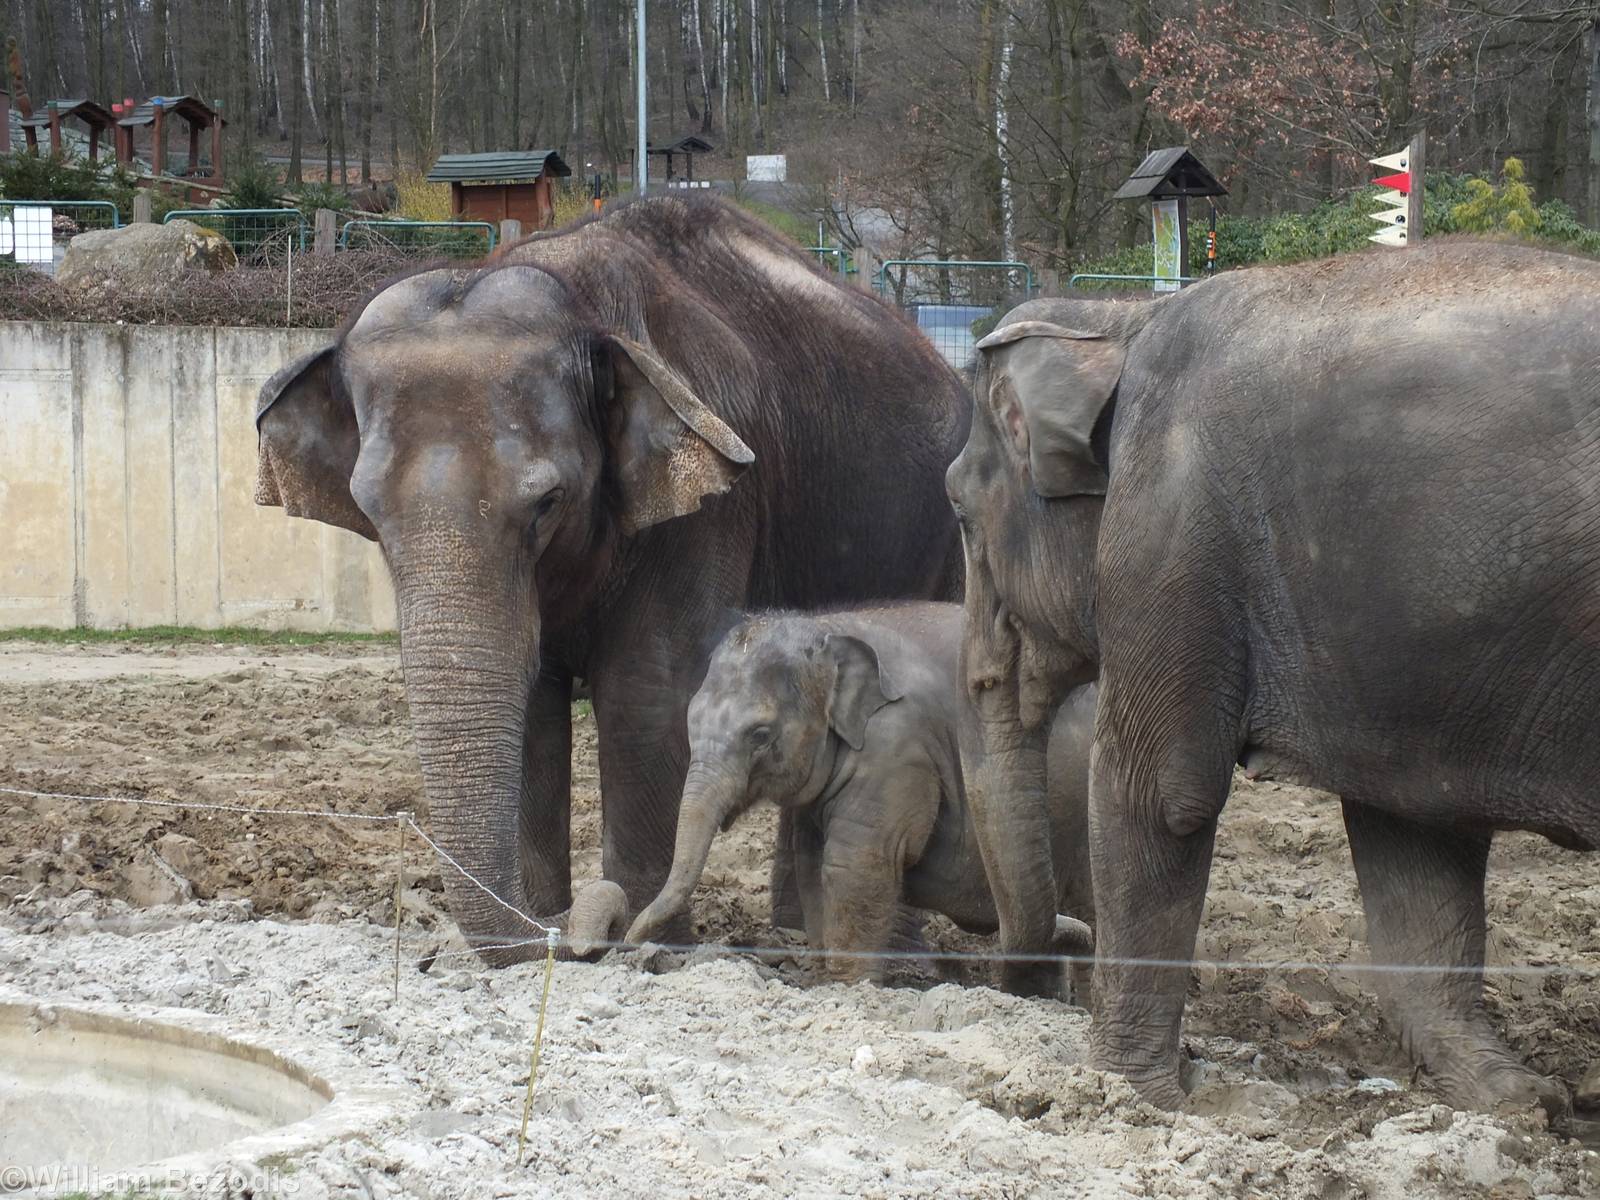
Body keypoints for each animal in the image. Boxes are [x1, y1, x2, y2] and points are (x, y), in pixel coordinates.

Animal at [254, 195, 970, 961]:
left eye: (548, 502)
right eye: (368, 511)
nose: (581, 929)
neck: (576, 294)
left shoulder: (712, 501)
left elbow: (645, 691)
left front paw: (650, 948)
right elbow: (533, 702)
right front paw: (551, 923)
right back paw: (794, 931)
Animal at [601, 603, 1095, 983]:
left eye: (759, 735)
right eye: (691, 720)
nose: (628, 943)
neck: (831, 628)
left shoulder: (897, 751)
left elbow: (854, 865)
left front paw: (850, 986)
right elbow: (811, 864)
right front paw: (827, 982)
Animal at [945, 241, 1600, 1115]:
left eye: (957, 509)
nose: (1047, 965)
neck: (1121, 319)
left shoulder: (1174, 533)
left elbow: (1159, 794)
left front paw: (1125, 1092)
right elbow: (1413, 841)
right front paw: (1515, 1098)